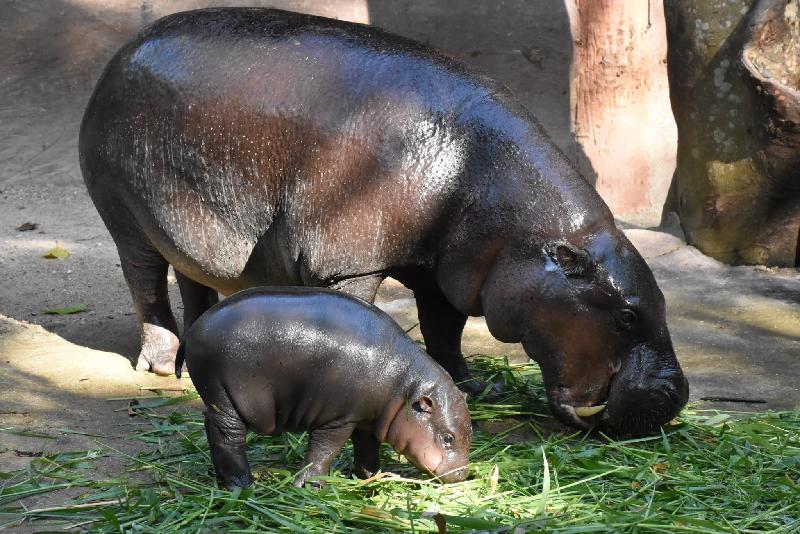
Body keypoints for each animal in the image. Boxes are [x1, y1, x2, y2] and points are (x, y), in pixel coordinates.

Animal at [84, 7, 692, 436]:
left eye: (662, 302)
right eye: (628, 316)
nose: (677, 396)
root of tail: (122, 51)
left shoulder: (446, 269)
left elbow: (444, 329)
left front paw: (474, 386)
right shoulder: (346, 263)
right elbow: (354, 318)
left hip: (186, 230)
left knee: (193, 281)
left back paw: (192, 360)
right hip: (124, 218)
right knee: (145, 284)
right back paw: (161, 367)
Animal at [177, 288, 468, 490]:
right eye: (448, 437)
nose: (463, 473)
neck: (405, 385)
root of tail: (191, 330)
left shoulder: (366, 420)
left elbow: (367, 449)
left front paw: (369, 477)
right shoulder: (339, 419)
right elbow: (324, 451)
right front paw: (307, 486)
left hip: (216, 399)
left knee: (210, 425)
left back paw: (221, 478)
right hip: (226, 398)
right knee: (229, 439)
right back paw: (243, 485)